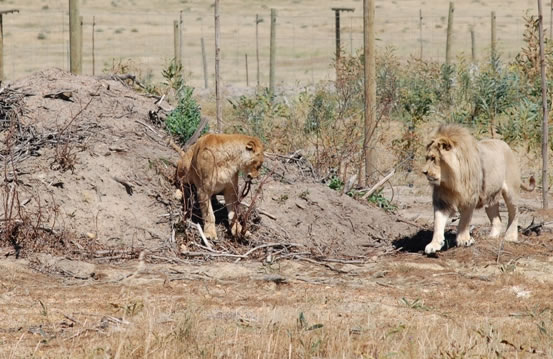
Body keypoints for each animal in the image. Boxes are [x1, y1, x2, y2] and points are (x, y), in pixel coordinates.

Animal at [420, 125, 532, 255]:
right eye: (427, 158)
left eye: (433, 158)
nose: (424, 172)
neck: (451, 180)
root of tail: (505, 144)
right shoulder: (442, 201)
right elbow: (438, 222)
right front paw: (434, 245)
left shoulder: (470, 199)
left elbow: (464, 221)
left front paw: (464, 240)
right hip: (490, 198)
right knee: (497, 219)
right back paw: (492, 237)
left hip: (511, 192)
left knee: (514, 213)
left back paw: (510, 237)